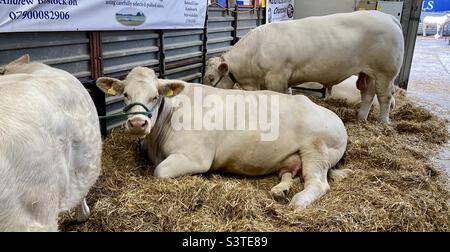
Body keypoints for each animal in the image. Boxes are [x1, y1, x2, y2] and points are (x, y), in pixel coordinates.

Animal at [97, 67, 352, 209]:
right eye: (125, 94)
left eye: (154, 96)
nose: (137, 124)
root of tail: (335, 117)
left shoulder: (195, 157)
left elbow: (159, 171)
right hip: (291, 159)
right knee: (290, 173)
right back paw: (280, 190)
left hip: (316, 149)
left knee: (317, 182)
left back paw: (298, 201)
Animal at [204, 10, 404, 123]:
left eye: (211, 78)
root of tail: (388, 17)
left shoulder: (276, 77)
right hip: (368, 73)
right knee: (368, 96)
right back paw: (361, 119)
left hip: (385, 73)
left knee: (385, 97)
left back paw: (384, 123)